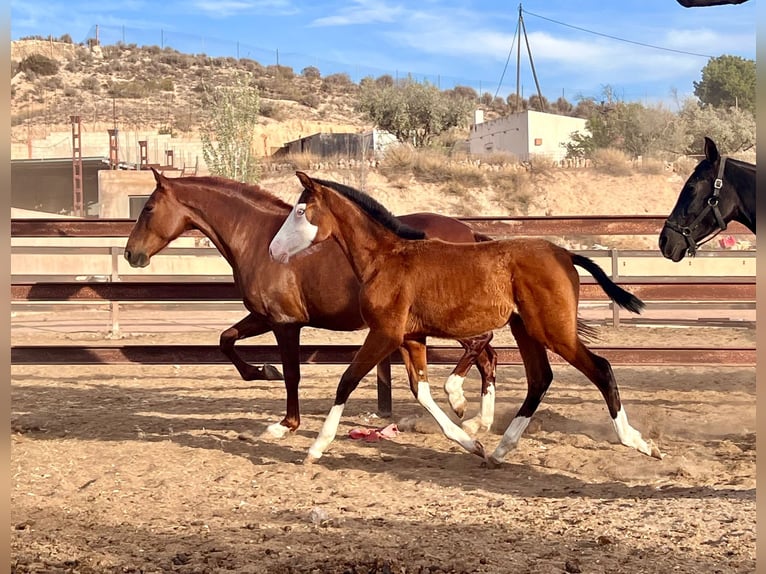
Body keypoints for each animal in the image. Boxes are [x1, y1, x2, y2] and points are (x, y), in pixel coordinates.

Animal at [124, 169, 500, 438]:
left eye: (148, 208)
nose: (131, 254)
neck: (258, 239)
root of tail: (471, 234)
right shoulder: (262, 317)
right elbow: (225, 340)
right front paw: (261, 372)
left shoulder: (285, 323)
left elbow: (292, 373)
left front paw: (285, 424)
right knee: (488, 357)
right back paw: (476, 421)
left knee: (482, 347)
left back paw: (459, 401)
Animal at [268, 171, 664, 468]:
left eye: (301, 210)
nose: (273, 250)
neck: (386, 259)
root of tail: (565, 253)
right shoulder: (411, 337)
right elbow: (421, 390)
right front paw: (470, 442)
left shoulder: (385, 334)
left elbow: (346, 381)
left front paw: (316, 448)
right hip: (525, 328)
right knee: (540, 378)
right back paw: (500, 450)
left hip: (553, 330)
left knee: (601, 368)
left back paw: (639, 442)